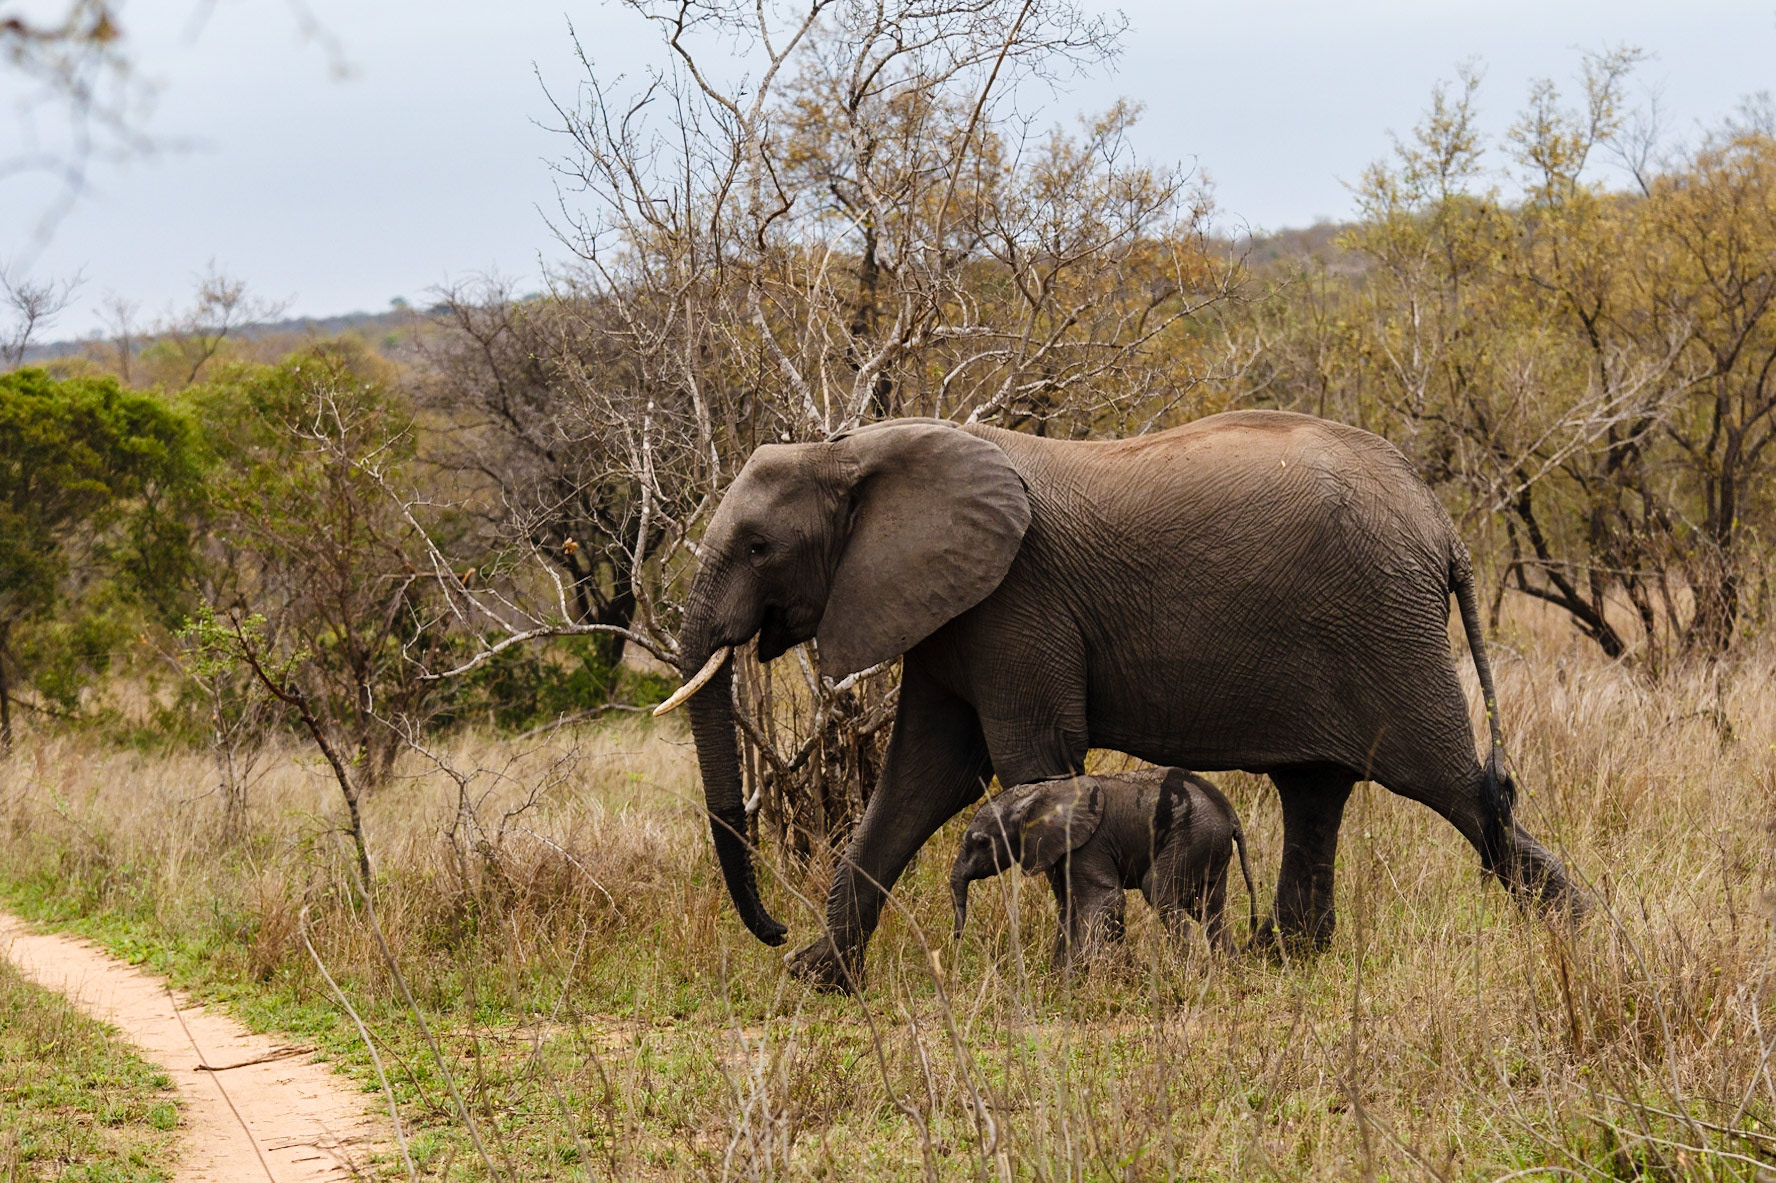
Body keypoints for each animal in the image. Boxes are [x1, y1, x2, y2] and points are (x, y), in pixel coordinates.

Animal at [949, 767, 1258, 969]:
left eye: (981, 842)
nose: (956, 940)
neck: (1037, 793)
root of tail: (1230, 813)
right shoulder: (1060, 849)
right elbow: (1068, 905)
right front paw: (1061, 975)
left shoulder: (1089, 842)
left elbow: (1104, 899)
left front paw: (1081, 973)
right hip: (1208, 842)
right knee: (1209, 907)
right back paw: (1229, 971)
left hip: (1194, 835)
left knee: (1159, 891)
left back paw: (1188, 970)